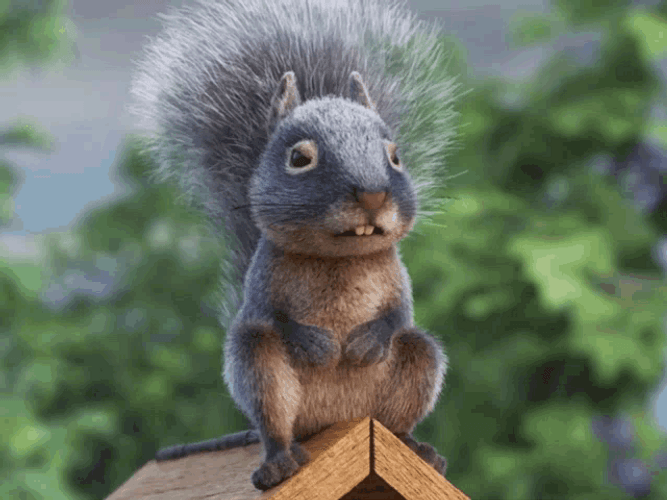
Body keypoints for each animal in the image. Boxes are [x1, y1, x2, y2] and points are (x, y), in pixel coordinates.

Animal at [129, 0, 460, 491]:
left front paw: (365, 341)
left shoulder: (398, 278)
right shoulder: (263, 282)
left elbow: (398, 314)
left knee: (398, 407)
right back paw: (280, 462)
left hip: (417, 363)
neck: (339, 260)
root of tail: (336, 422)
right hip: (261, 367)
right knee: (275, 422)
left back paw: (415, 449)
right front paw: (315, 344)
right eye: (299, 158)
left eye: (395, 155)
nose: (373, 195)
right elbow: (273, 316)